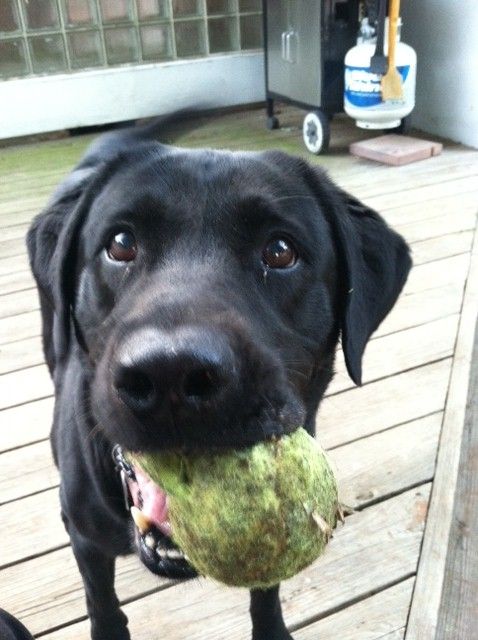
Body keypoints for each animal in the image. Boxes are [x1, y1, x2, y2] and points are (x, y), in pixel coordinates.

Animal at [27, 115, 410, 640]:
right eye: (120, 244)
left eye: (281, 250)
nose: (170, 375)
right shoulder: (84, 536)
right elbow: (101, 602)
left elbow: (266, 591)